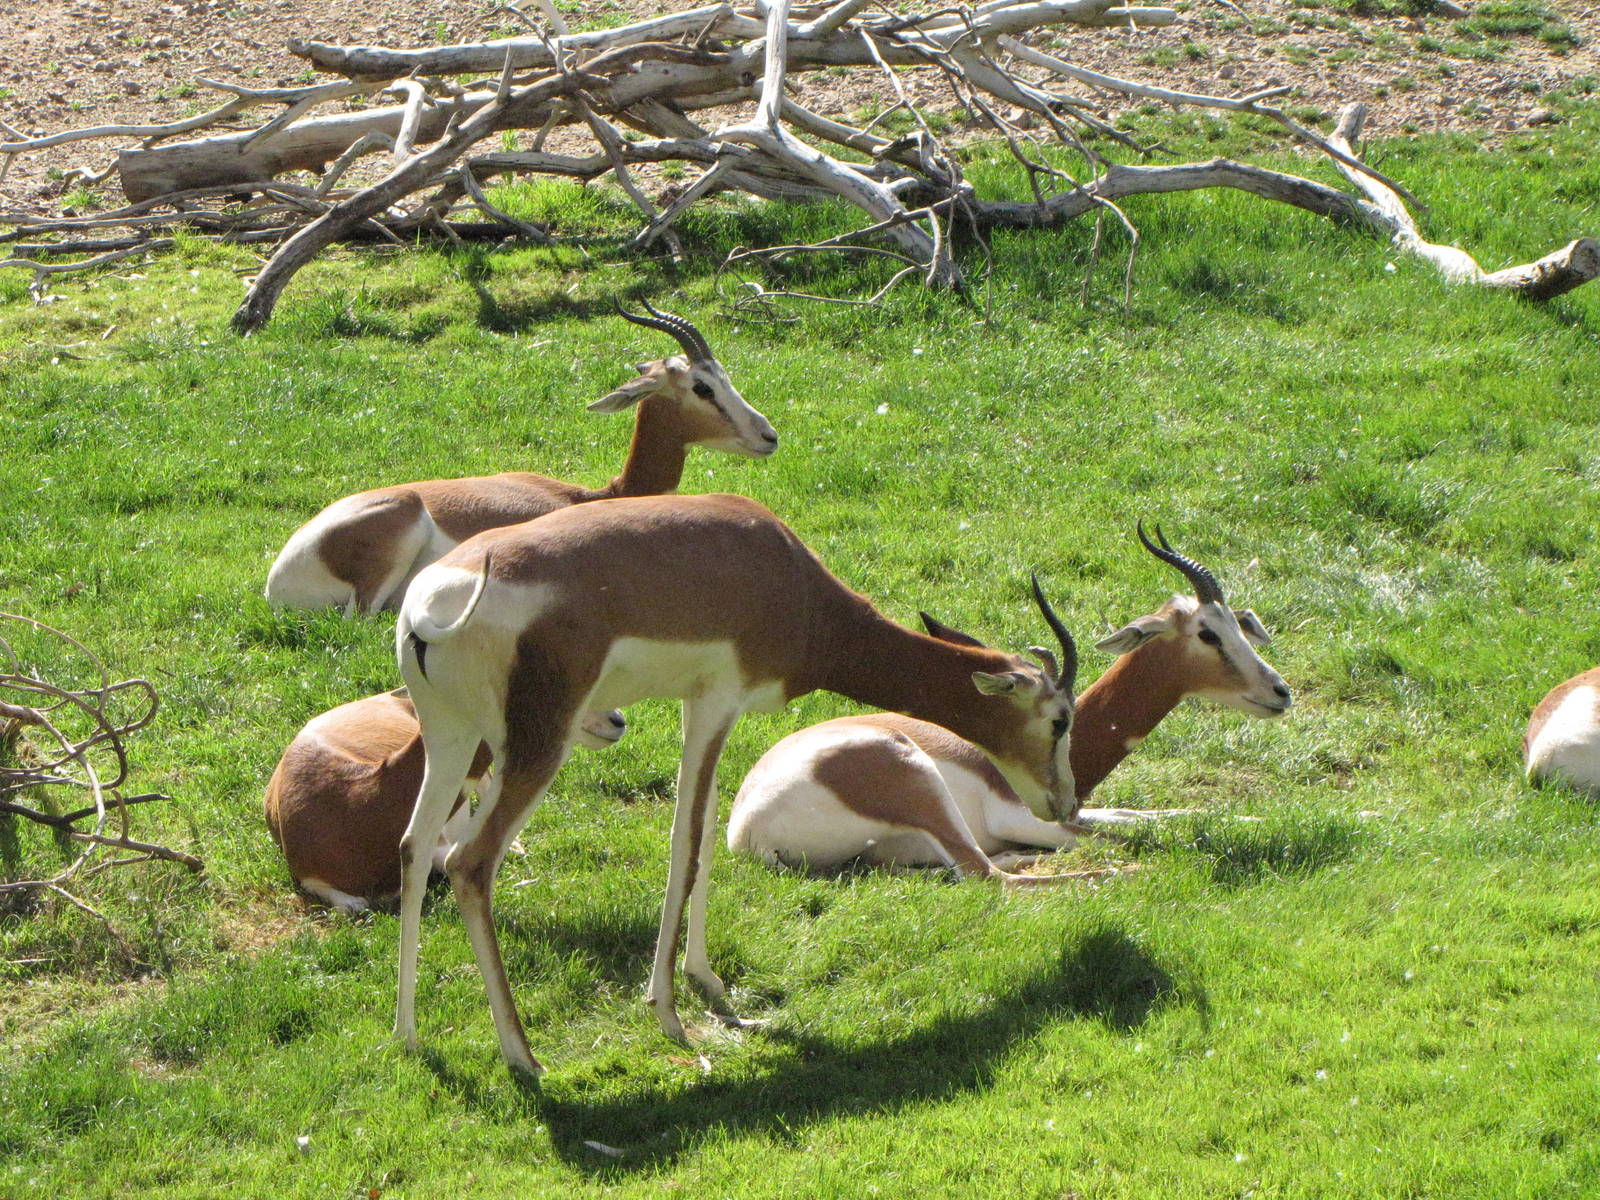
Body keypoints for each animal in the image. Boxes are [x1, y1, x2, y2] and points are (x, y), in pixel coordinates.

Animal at [393, 492, 1081, 1075]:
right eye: (1060, 719)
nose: (1066, 804)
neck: (784, 576)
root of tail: (431, 608)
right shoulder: (714, 703)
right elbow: (686, 844)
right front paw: (669, 1014)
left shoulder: (708, 710)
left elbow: (702, 834)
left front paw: (709, 984)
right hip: (537, 745)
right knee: (470, 863)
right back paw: (523, 1058)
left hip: (451, 735)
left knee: (415, 844)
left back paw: (408, 1037)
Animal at [726, 526, 1293, 878]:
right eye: (1208, 634)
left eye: (1240, 624)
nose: (1279, 692)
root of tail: (745, 831)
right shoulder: (1022, 816)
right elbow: (1127, 834)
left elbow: (1149, 815)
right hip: (924, 788)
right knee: (988, 873)